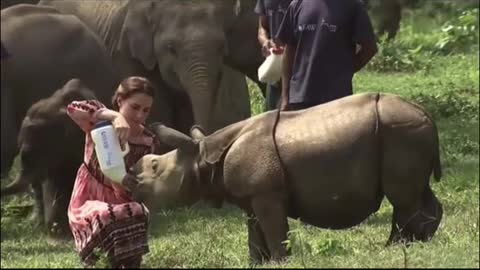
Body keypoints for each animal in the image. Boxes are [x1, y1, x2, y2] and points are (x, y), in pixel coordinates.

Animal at [126, 92, 442, 264]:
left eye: (154, 166)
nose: (130, 180)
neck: (202, 155)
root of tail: (427, 115)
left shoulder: (267, 192)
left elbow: (274, 228)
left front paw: (280, 261)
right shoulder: (251, 195)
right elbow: (254, 230)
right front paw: (256, 263)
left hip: (400, 131)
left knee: (403, 198)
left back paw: (396, 248)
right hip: (406, 131)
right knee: (418, 193)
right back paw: (423, 241)